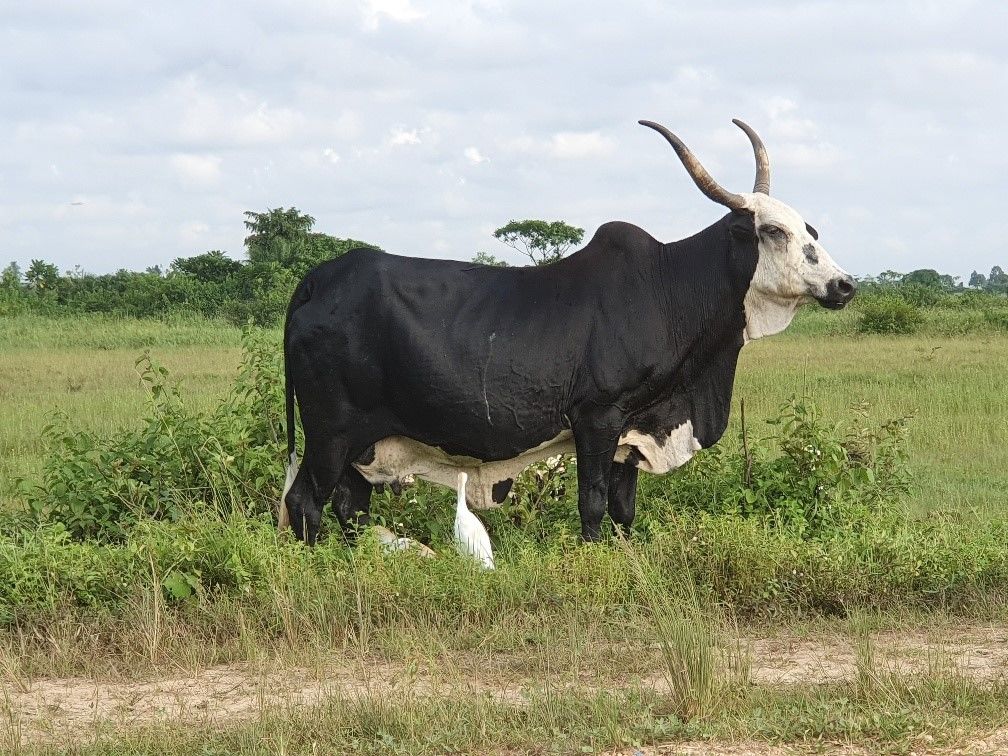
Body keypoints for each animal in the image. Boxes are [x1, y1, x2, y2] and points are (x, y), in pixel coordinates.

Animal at [280, 118, 854, 544]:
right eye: (772, 231)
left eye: (810, 229)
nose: (844, 285)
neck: (670, 288)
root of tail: (321, 277)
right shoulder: (597, 418)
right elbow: (593, 504)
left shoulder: (631, 430)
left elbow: (624, 509)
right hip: (330, 432)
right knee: (305, 502)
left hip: (361, 445)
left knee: (349, 505)